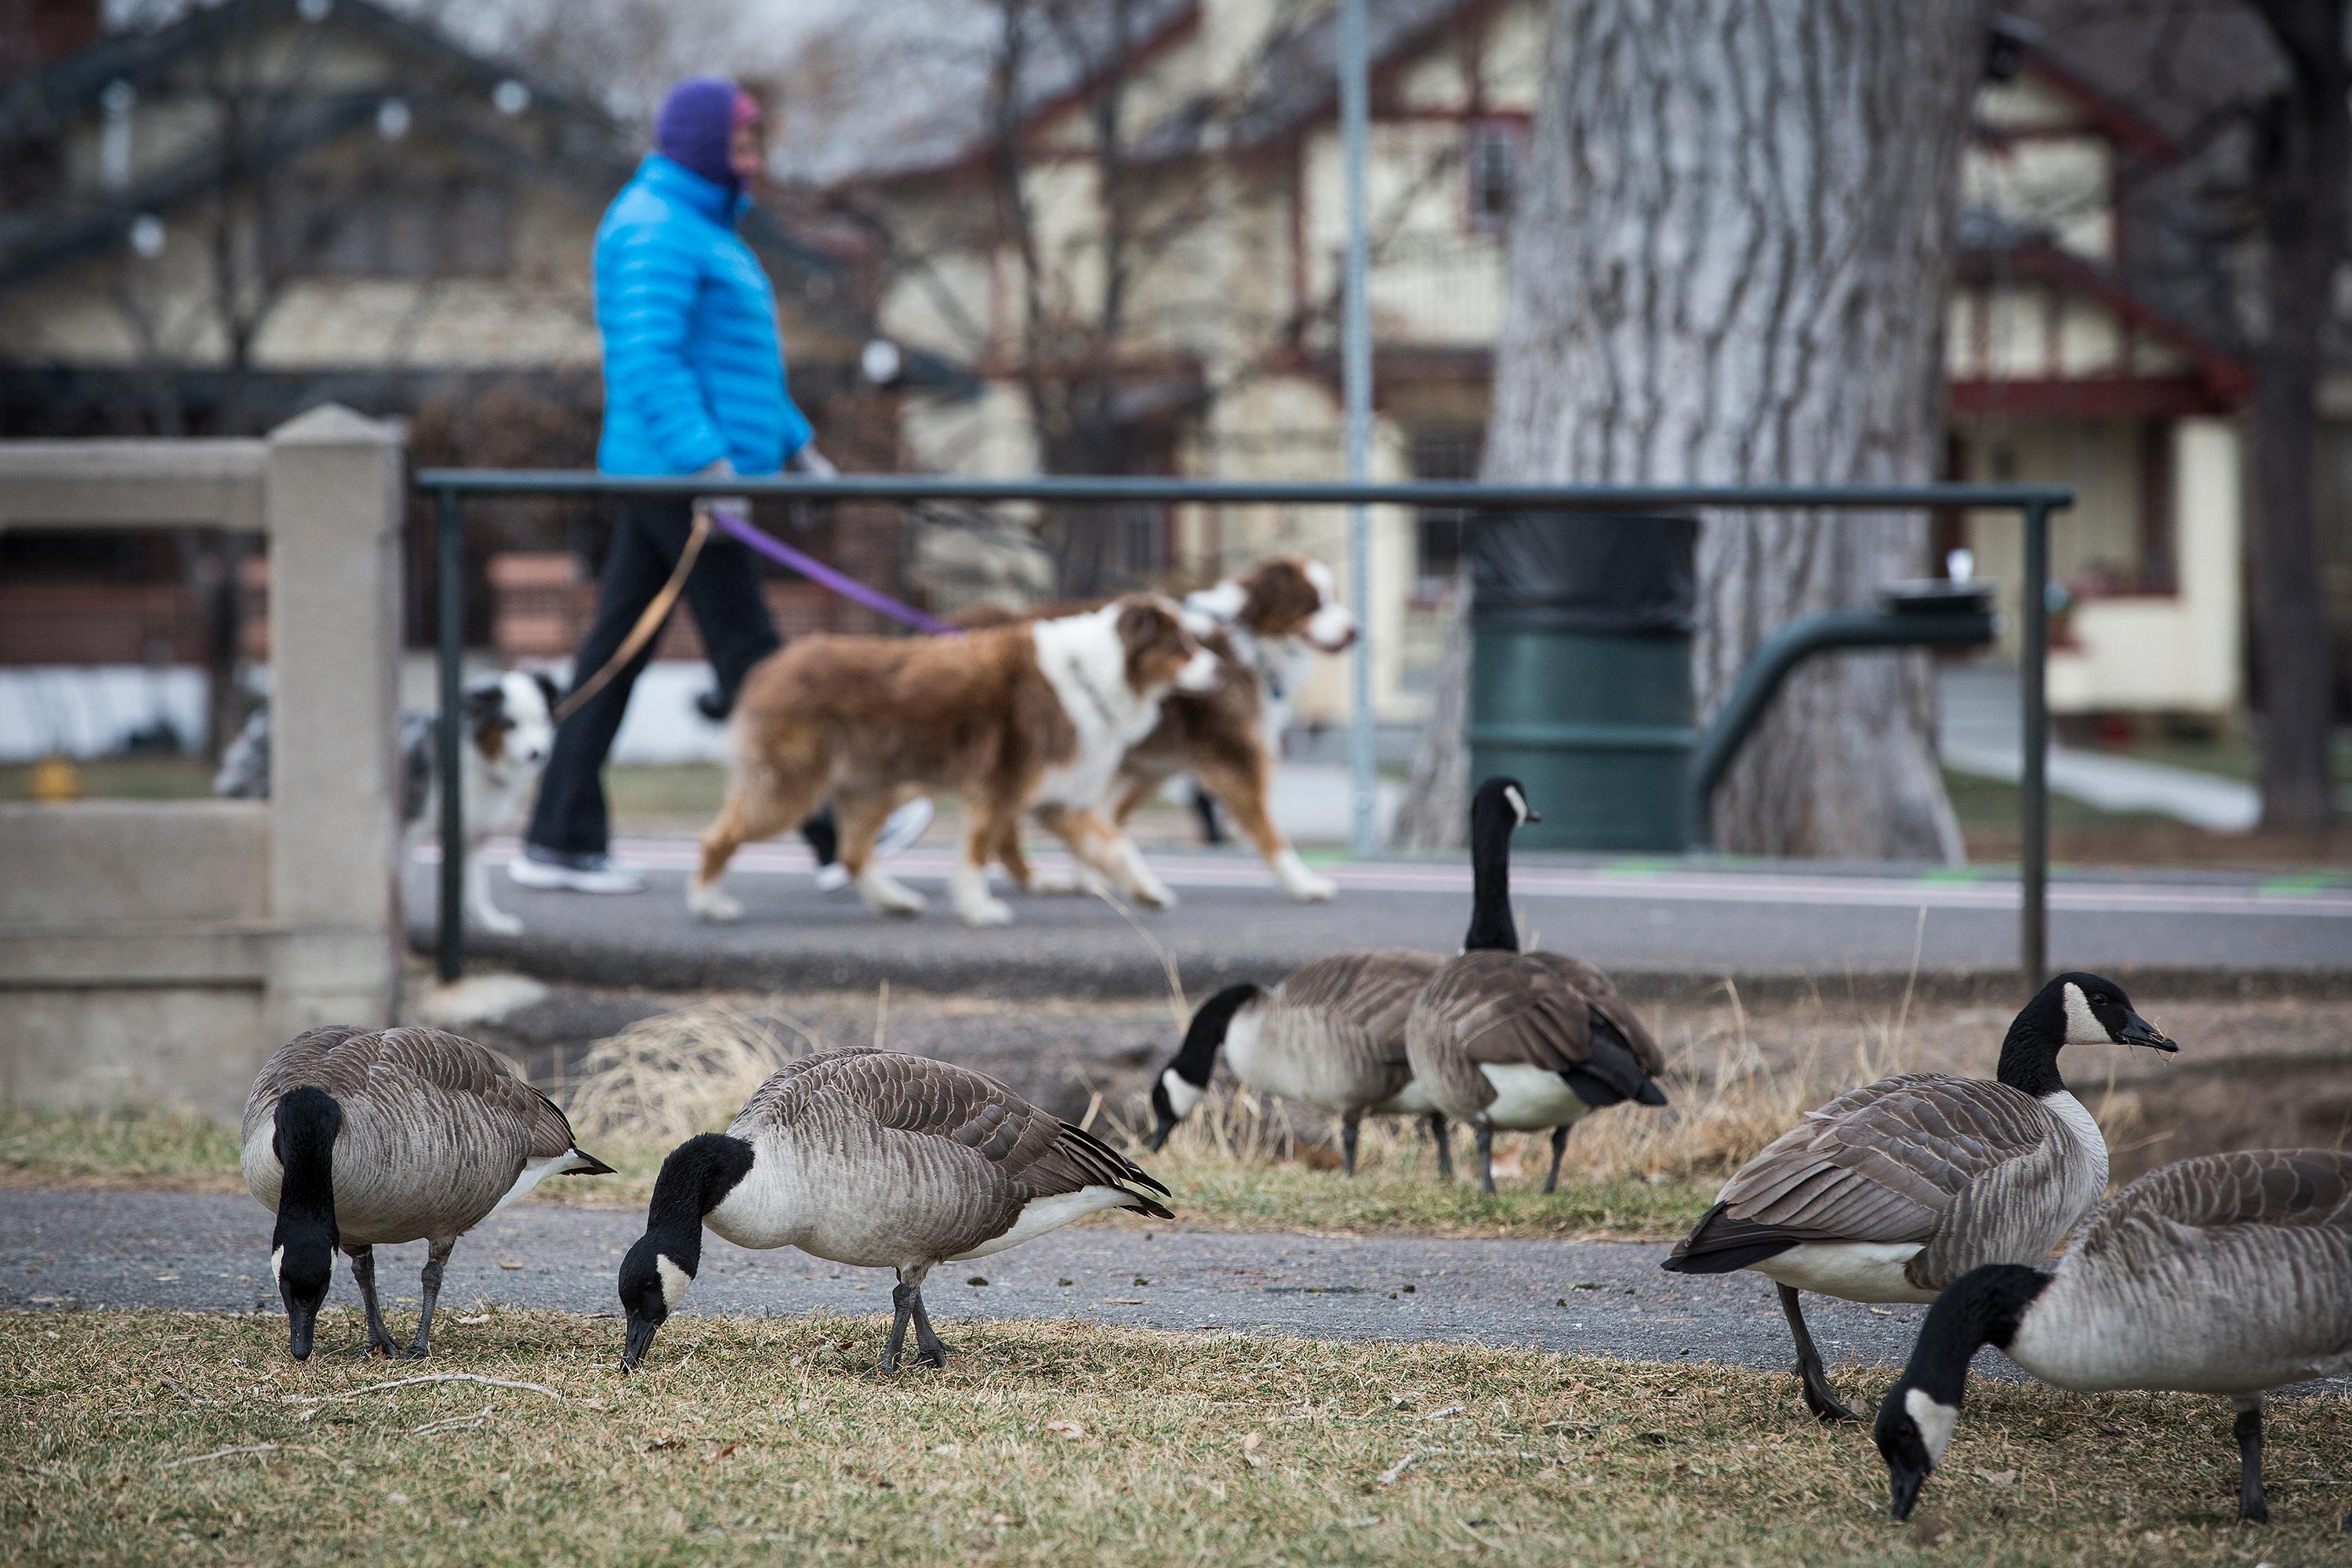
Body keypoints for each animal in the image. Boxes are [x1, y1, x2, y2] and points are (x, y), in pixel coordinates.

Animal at [687, 594, 1214, 926]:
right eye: (1183, 647)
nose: (1221, 668)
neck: (1098, 674)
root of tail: (771, 666)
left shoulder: (1061, 801)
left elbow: (1120, 846)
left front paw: (1149, 892)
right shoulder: (1001, 788)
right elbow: (978, 853)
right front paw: (980, 910)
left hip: (872, 788)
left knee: (853, 854)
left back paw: (894, 901)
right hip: (791, 788)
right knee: (718, 838)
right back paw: (709, 905)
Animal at [960, 557, 1364, 907]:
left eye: (1333, 597)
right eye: (1314, 603)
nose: (1356, 632)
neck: (1249, 641)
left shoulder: (1146, 769)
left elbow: (1106, 821)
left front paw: (1097, 876)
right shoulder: (1232, 756)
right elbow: (1269, 830)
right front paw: (1303, 883)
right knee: (1004, 821)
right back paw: (1031, 880)